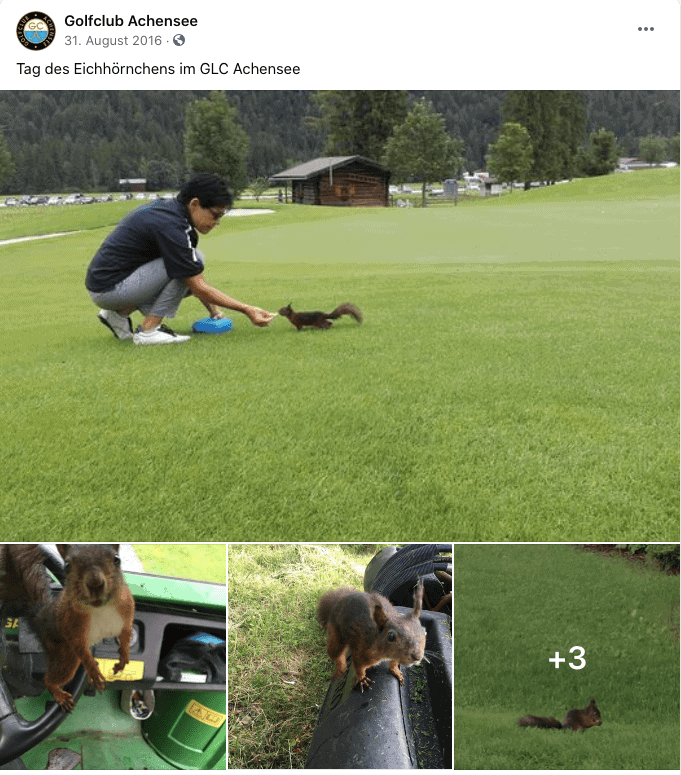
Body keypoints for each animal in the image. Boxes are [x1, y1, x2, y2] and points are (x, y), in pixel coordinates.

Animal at [0, 544, 135, 712]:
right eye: (67, 566)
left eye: (117, 559)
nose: (95, 583)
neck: (100, 608)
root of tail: (41, 616)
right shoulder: (72, 622)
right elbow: (79, 643)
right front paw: (94, 672)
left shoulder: (126, 607)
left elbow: (126, 632)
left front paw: (123, 657)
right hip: (63, 652)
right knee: (50, 678)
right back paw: (59, 692)